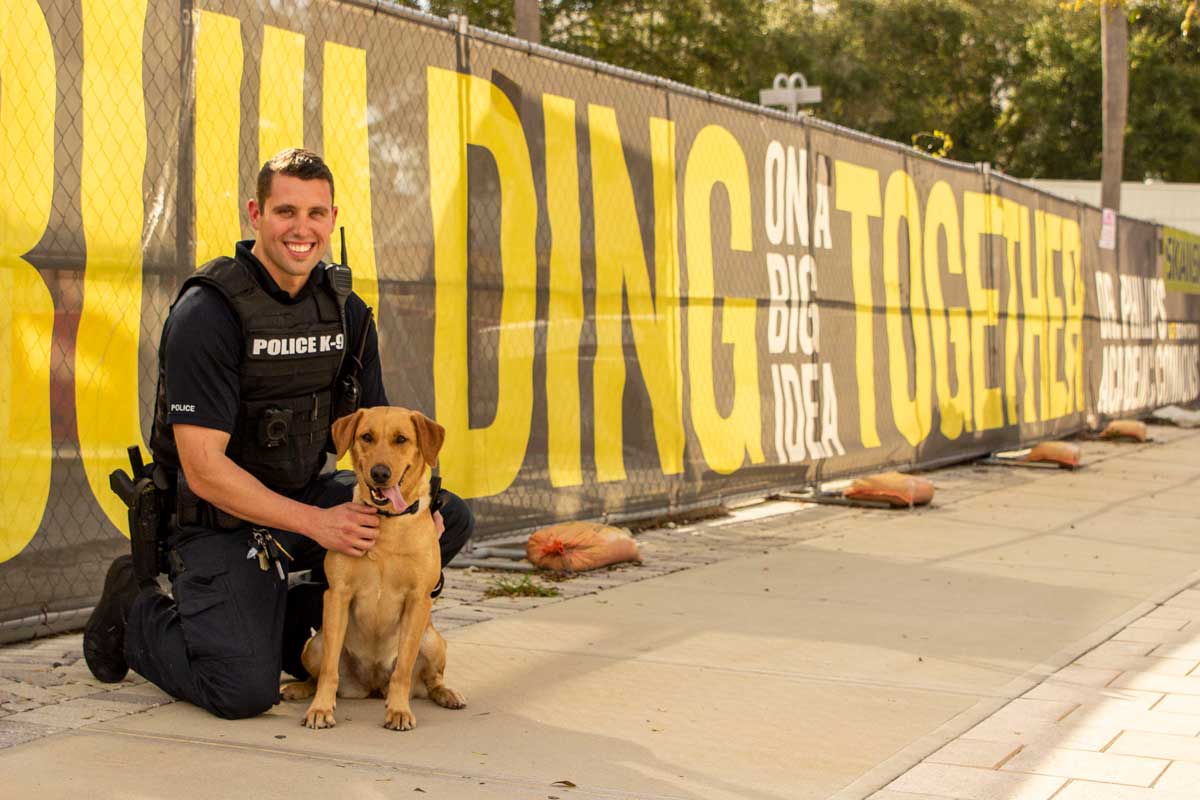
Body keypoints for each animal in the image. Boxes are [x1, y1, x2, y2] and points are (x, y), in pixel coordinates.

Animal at [283, 410, 465, 729]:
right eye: (366, 436)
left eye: (401, 439)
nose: (380, 473)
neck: (387, 523)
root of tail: (372, 686)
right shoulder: (338, 595)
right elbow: (329, 671)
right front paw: (320, 708)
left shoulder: (418, 600)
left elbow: (403, 669)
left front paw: (399, 710)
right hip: (315, 644)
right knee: (317, 674)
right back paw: (300, 689)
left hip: (432, 641)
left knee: (430, 680)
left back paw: (446, 694)